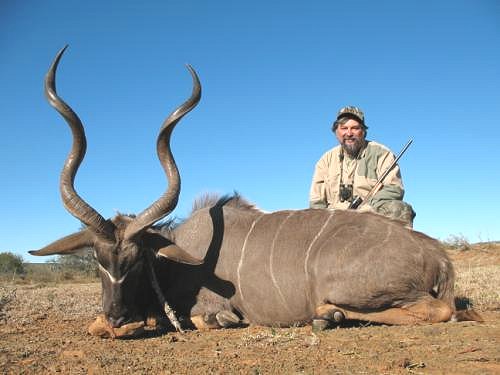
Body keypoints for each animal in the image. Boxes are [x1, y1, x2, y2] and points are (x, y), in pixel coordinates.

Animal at [30, 46, 472, 338]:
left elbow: (210, 319)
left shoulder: (213, 309)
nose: (117, 317)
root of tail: (437, 255)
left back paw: (328, 314)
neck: (176, 256)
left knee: (439, 310)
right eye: (97, 258)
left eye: (138, 260)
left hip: (353, 289)